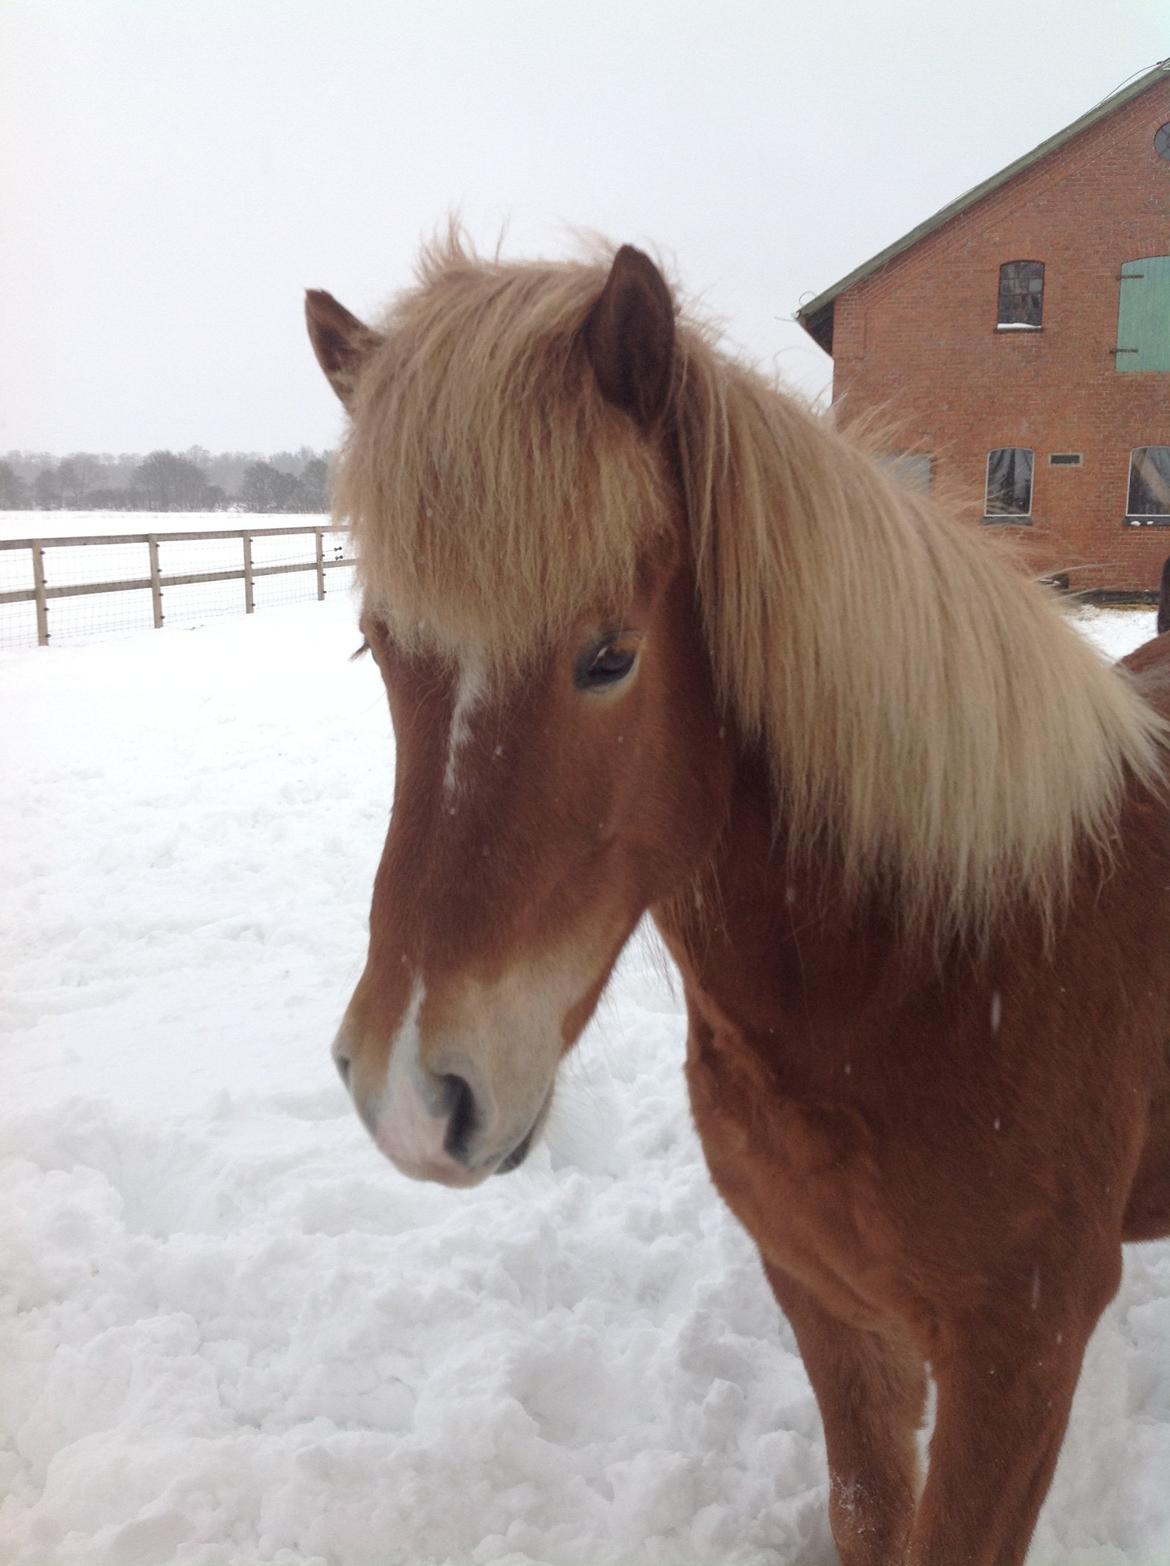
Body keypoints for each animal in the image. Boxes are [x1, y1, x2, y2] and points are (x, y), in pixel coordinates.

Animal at [306, 234, 1170, 1566]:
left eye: (610, 655)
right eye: (377, 645)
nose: (409, 1094)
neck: (940, 966)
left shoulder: (1020, 1361)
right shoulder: (820, 1298)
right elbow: (866, 1510)